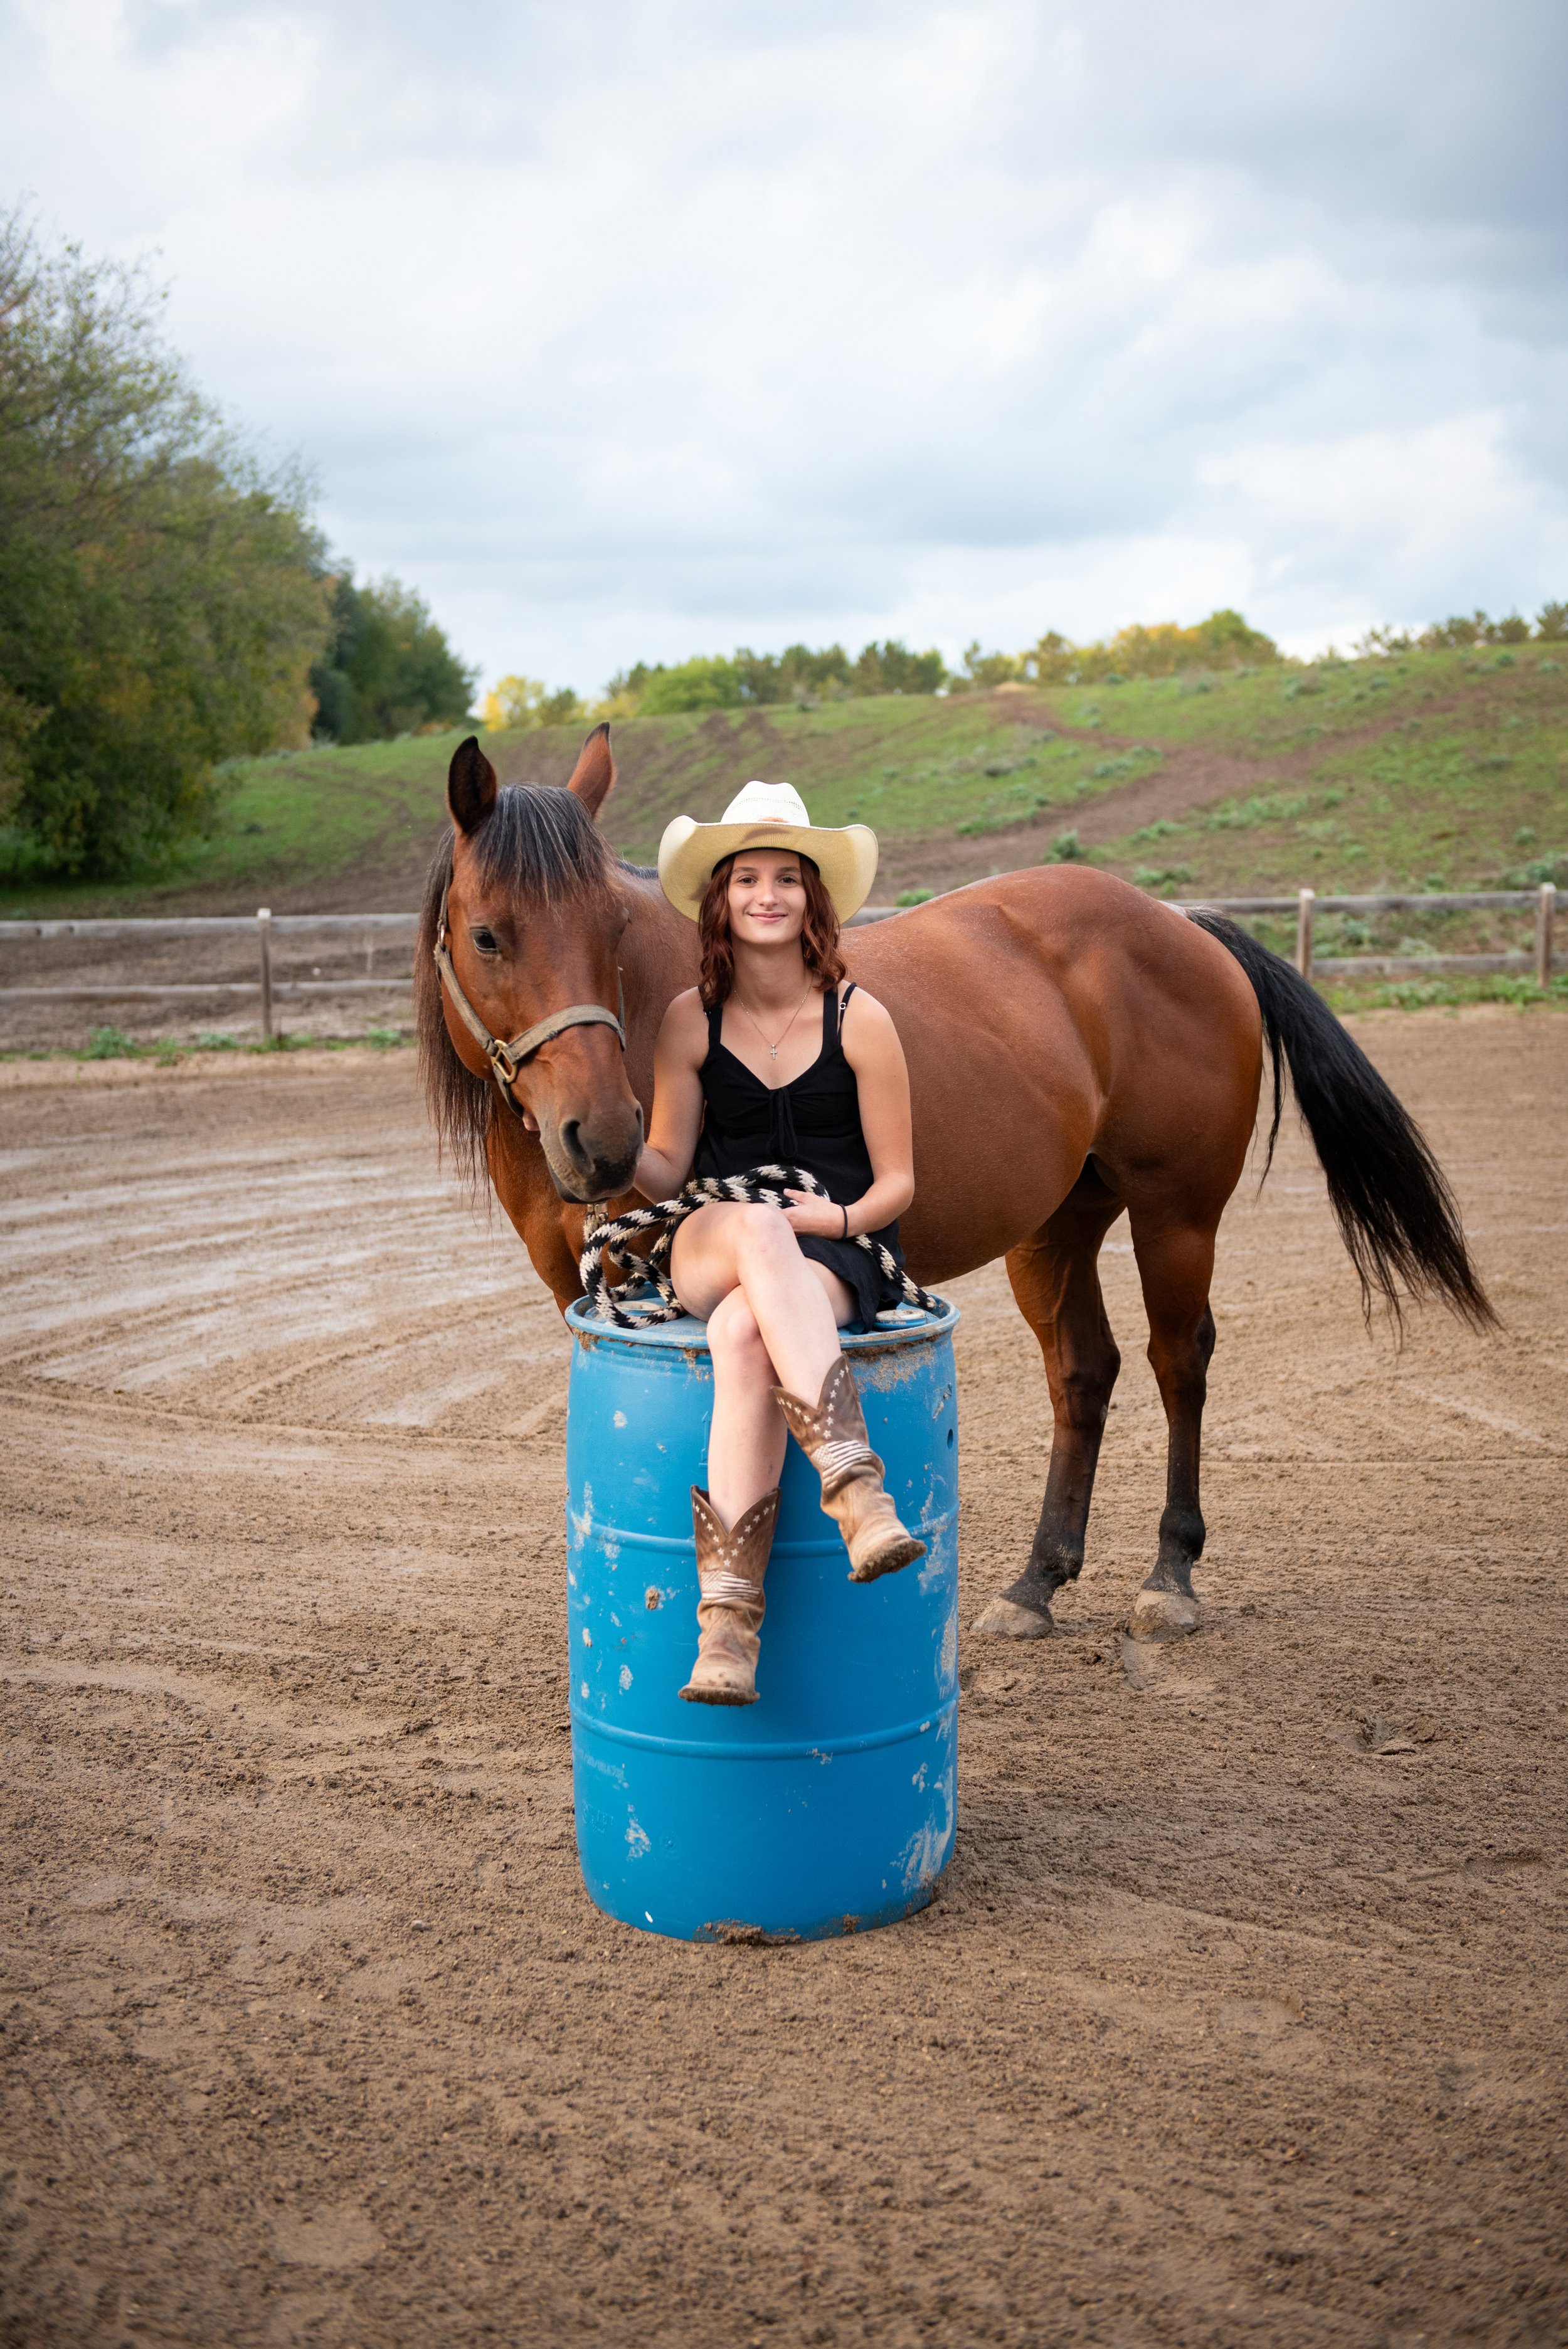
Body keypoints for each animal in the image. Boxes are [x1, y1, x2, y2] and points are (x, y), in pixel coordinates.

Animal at [416, 725, 1494, 1640]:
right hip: (1057, 1227)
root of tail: (1183, 924)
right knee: (1085, 1372)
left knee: (1177, 1361)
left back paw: (1170, 1576)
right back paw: (1036, 1581)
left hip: (1176, 1216)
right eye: (489, 935)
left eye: (608, 927)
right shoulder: (589, 1295)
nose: (604, 1139)